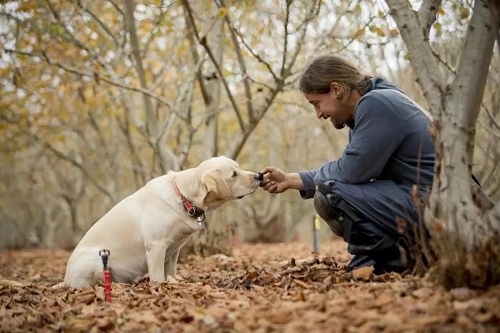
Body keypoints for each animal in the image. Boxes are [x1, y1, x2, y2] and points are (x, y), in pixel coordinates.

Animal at [63, 156, 262, 288]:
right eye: (234, 174)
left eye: (238, 167)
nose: (259, 175)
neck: (183, 197)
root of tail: (65, 281)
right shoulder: (156, 246)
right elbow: (157, 275)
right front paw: (160, 286)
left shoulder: (174, 250)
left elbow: (170, 272)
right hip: (96, 257)